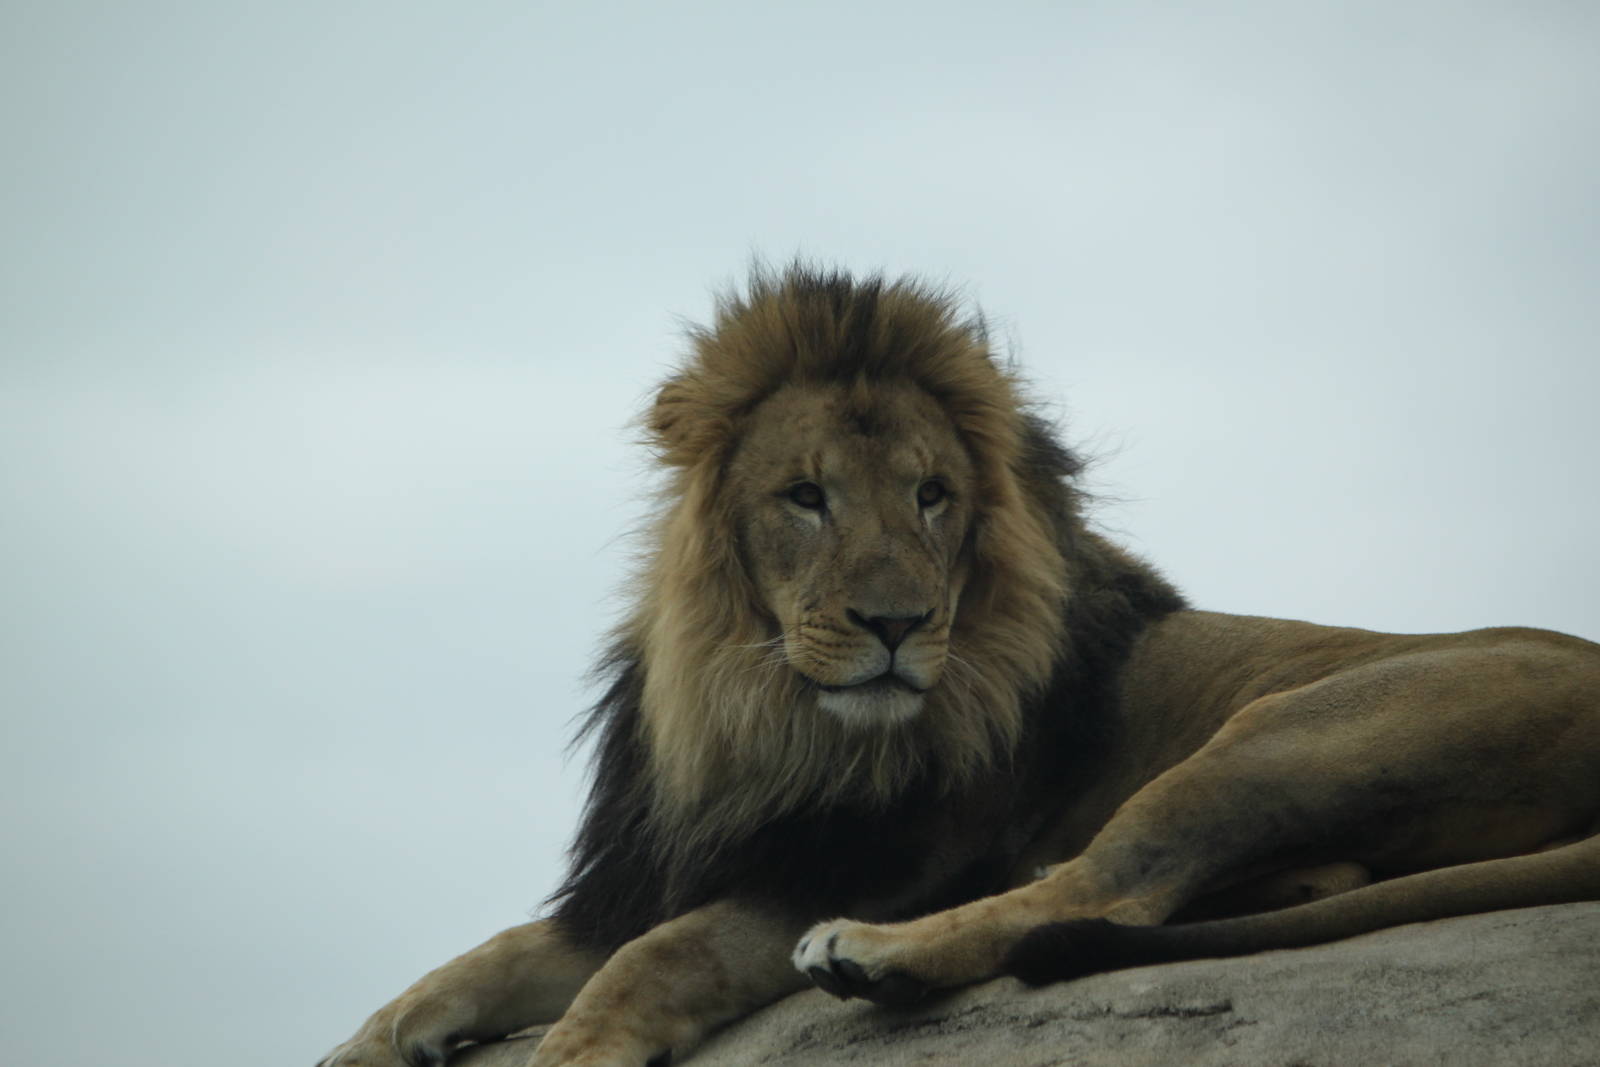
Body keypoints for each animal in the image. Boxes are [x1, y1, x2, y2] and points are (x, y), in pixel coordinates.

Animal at [319, 265, 1600, 1067]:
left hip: (1279, 738)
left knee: (1098, 888)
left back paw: (874, 958)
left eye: (933, 495)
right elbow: (489, 953)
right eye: (806, 495)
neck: (763, 710)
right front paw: (373, 1035)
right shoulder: (664, 861)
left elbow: (656, 954)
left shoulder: (870, 863)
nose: (895, 621)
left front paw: (578, 1043)